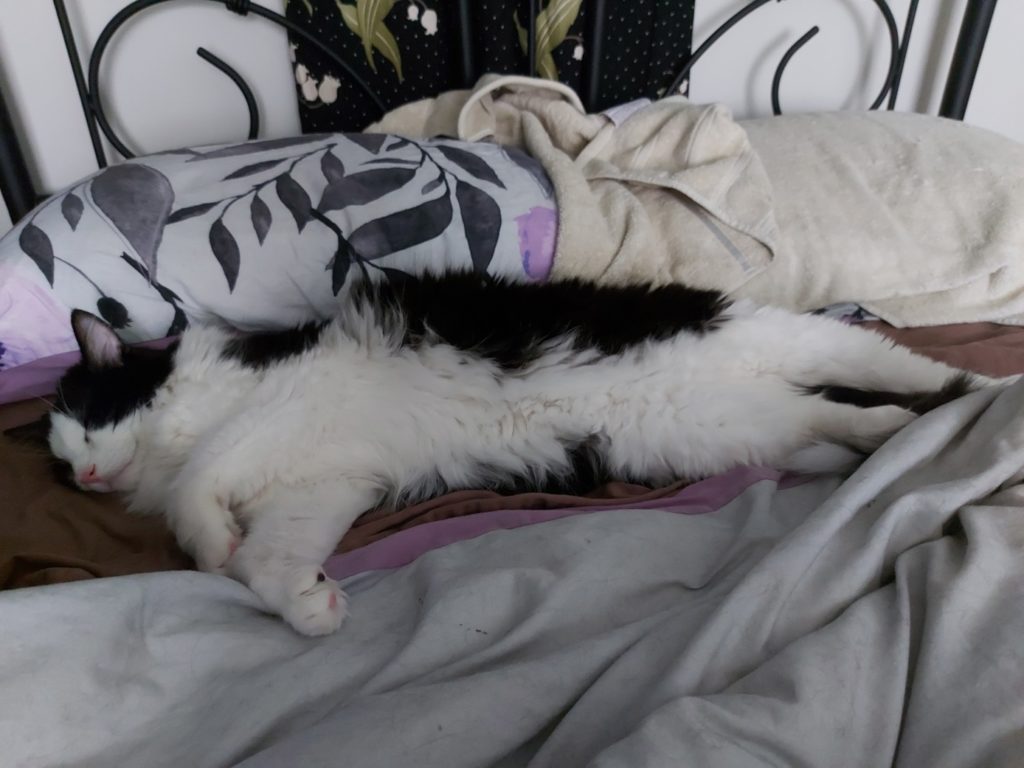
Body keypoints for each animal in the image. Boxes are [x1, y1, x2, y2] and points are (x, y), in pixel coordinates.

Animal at [46, 274, 983, 634]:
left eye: (85, 420)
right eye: (59, 468)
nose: (82, 475)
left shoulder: (273, 409)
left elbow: (202, 494)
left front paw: (207, 541)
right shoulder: (322, 483)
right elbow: (268, 565)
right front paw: (311, 606)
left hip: (775, 343)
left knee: (888, 359)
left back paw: (974, 386)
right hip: (739, 421)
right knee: (839, 416)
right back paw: (898, 433)